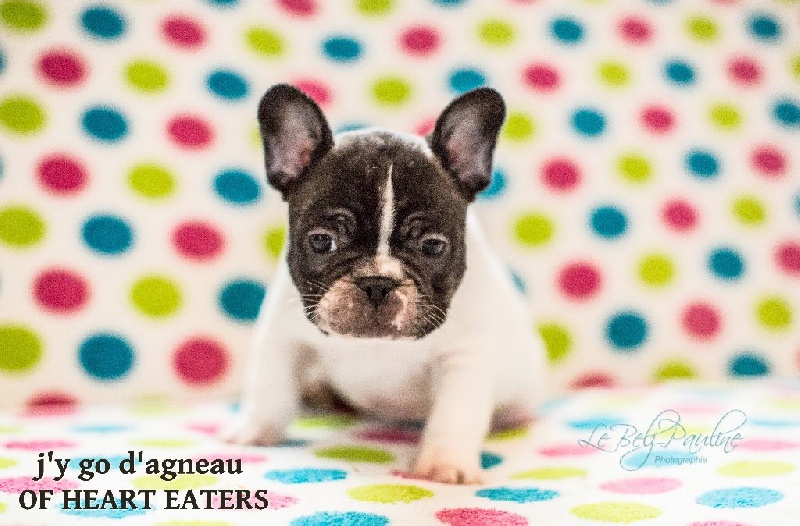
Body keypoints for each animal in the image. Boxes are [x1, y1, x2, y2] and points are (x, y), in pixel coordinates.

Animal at [222, 84, 546, 484]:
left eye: (433, 246)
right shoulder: (282, 338)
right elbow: (270, 388)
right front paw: (254, 430)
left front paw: (445, 464)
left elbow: (455, 415)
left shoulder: (464, 359)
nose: (377, 282)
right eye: (322, 241)